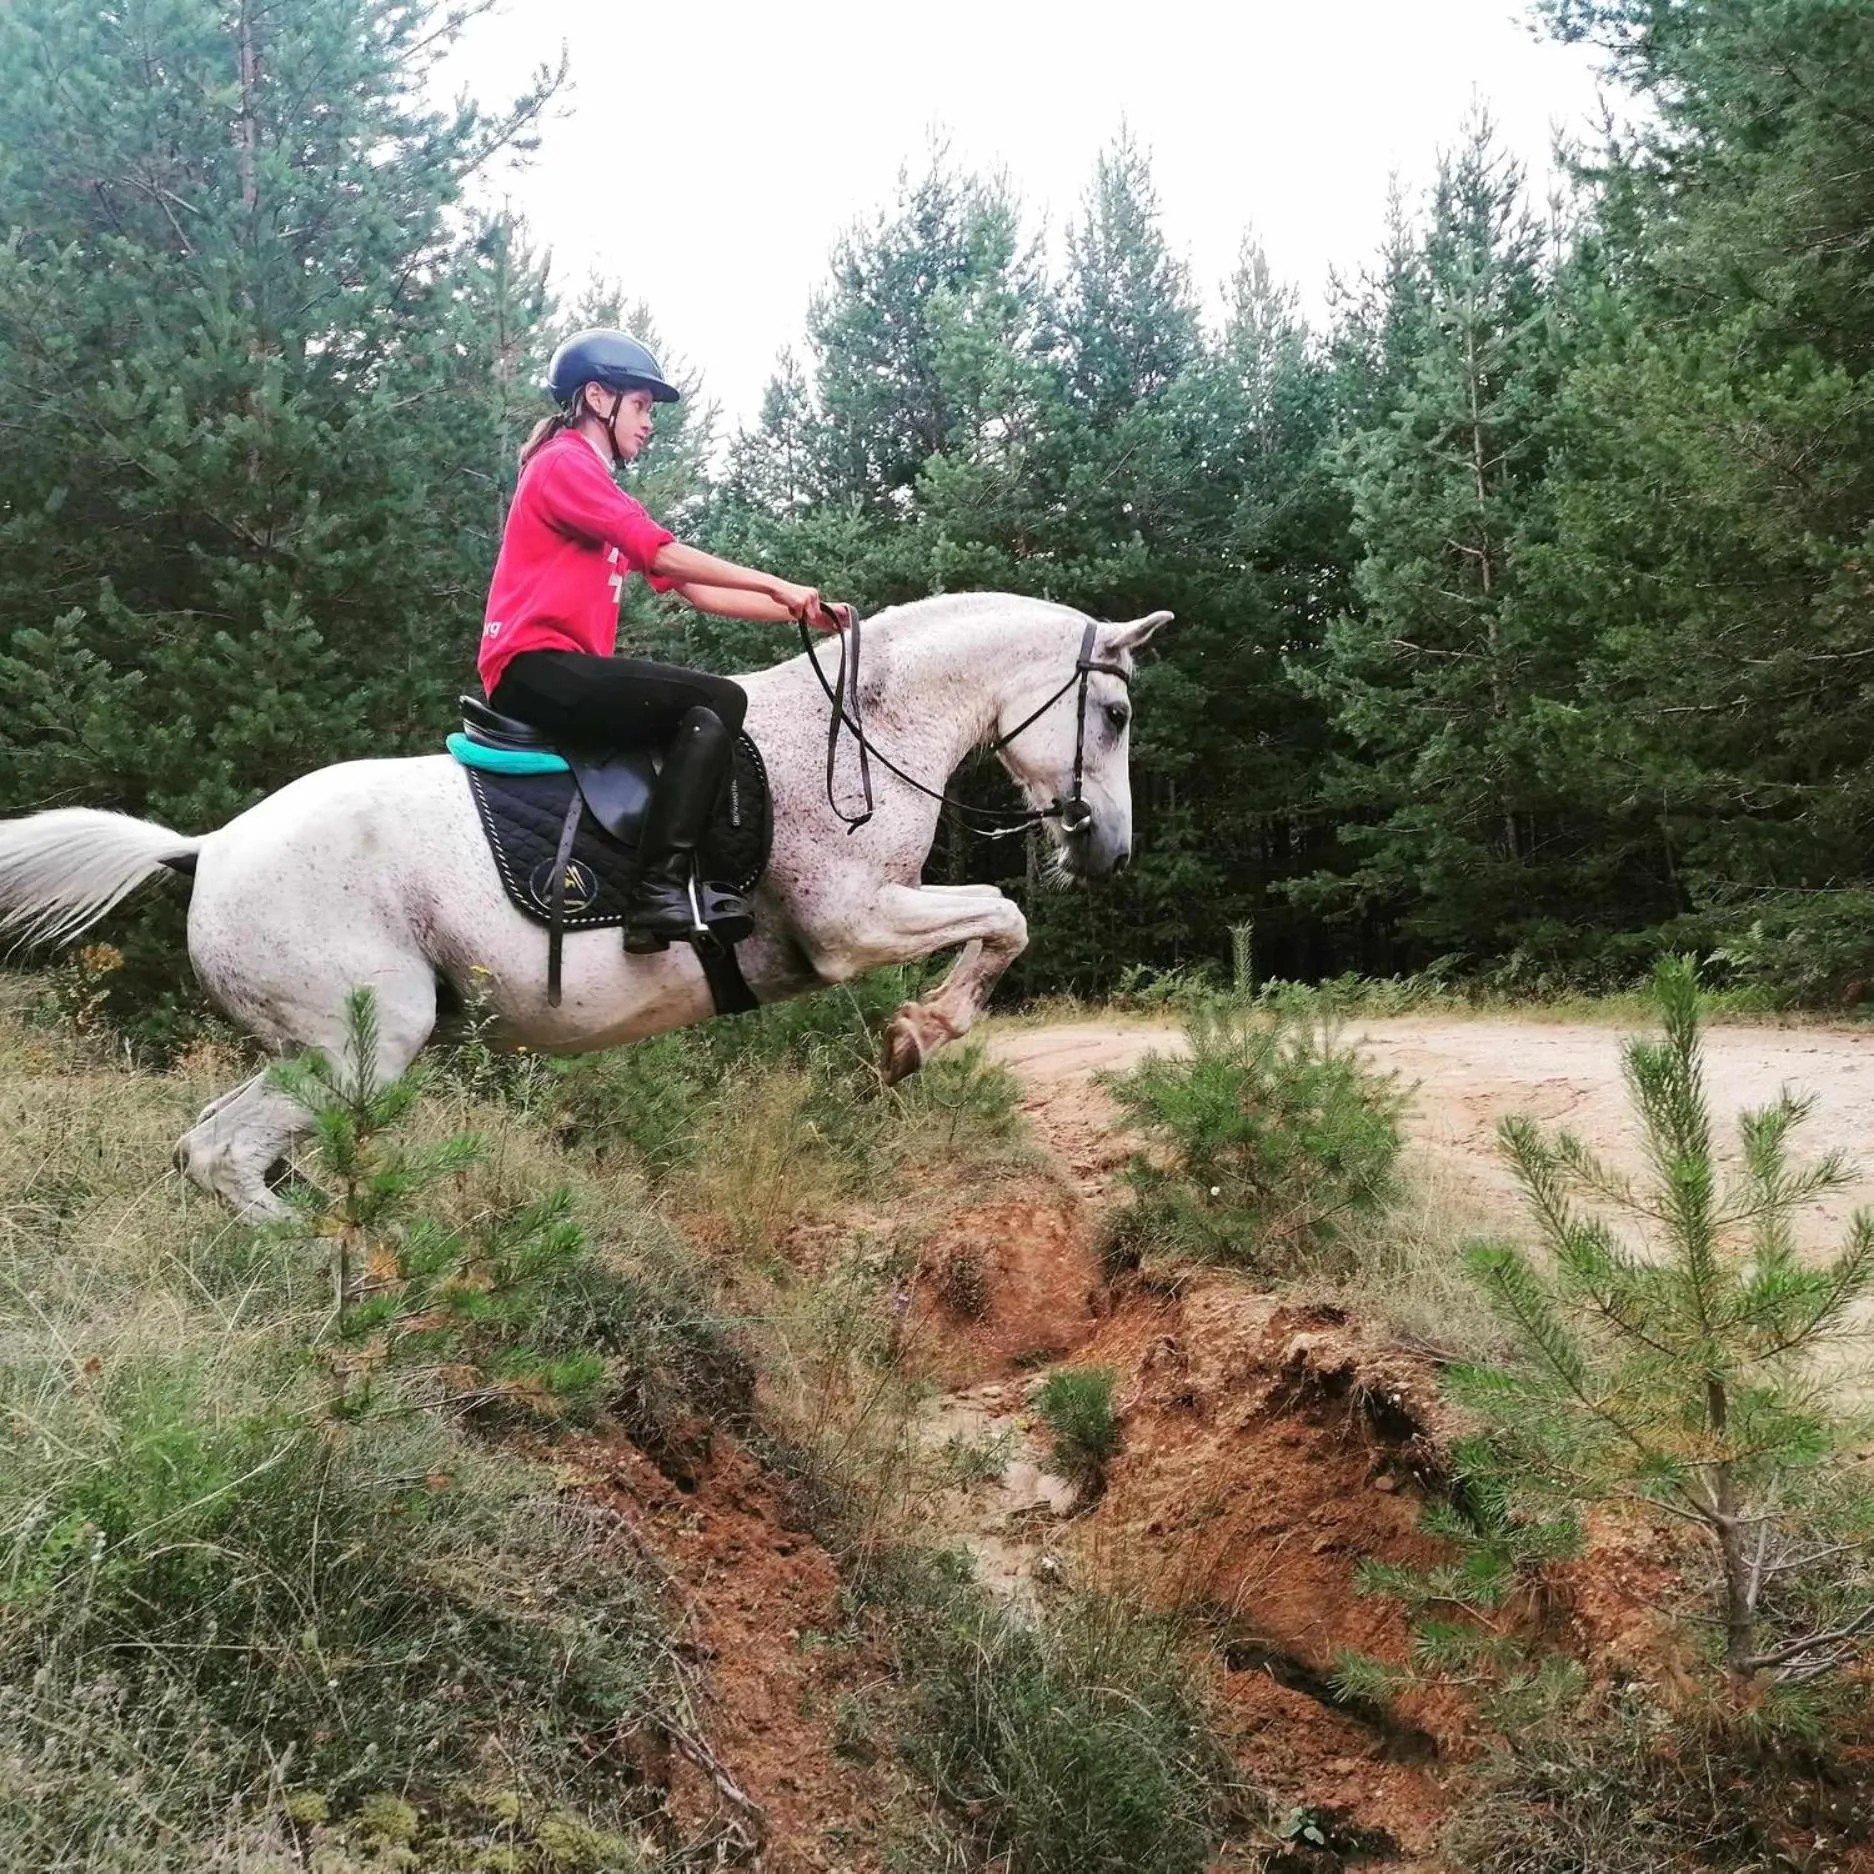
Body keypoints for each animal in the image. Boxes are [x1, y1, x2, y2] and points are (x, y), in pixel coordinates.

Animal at [0, 593, 1171, 1218]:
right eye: (1113, 716)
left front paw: (919, 1030)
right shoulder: (851, 926)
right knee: (226, 1153)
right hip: (361, 1043)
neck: (864, 731)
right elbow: (1004, 915)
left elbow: (1000, 918)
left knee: (206, 1143)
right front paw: (918, 1032)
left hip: (311, 1046)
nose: (1108, 849)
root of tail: (207, 848)